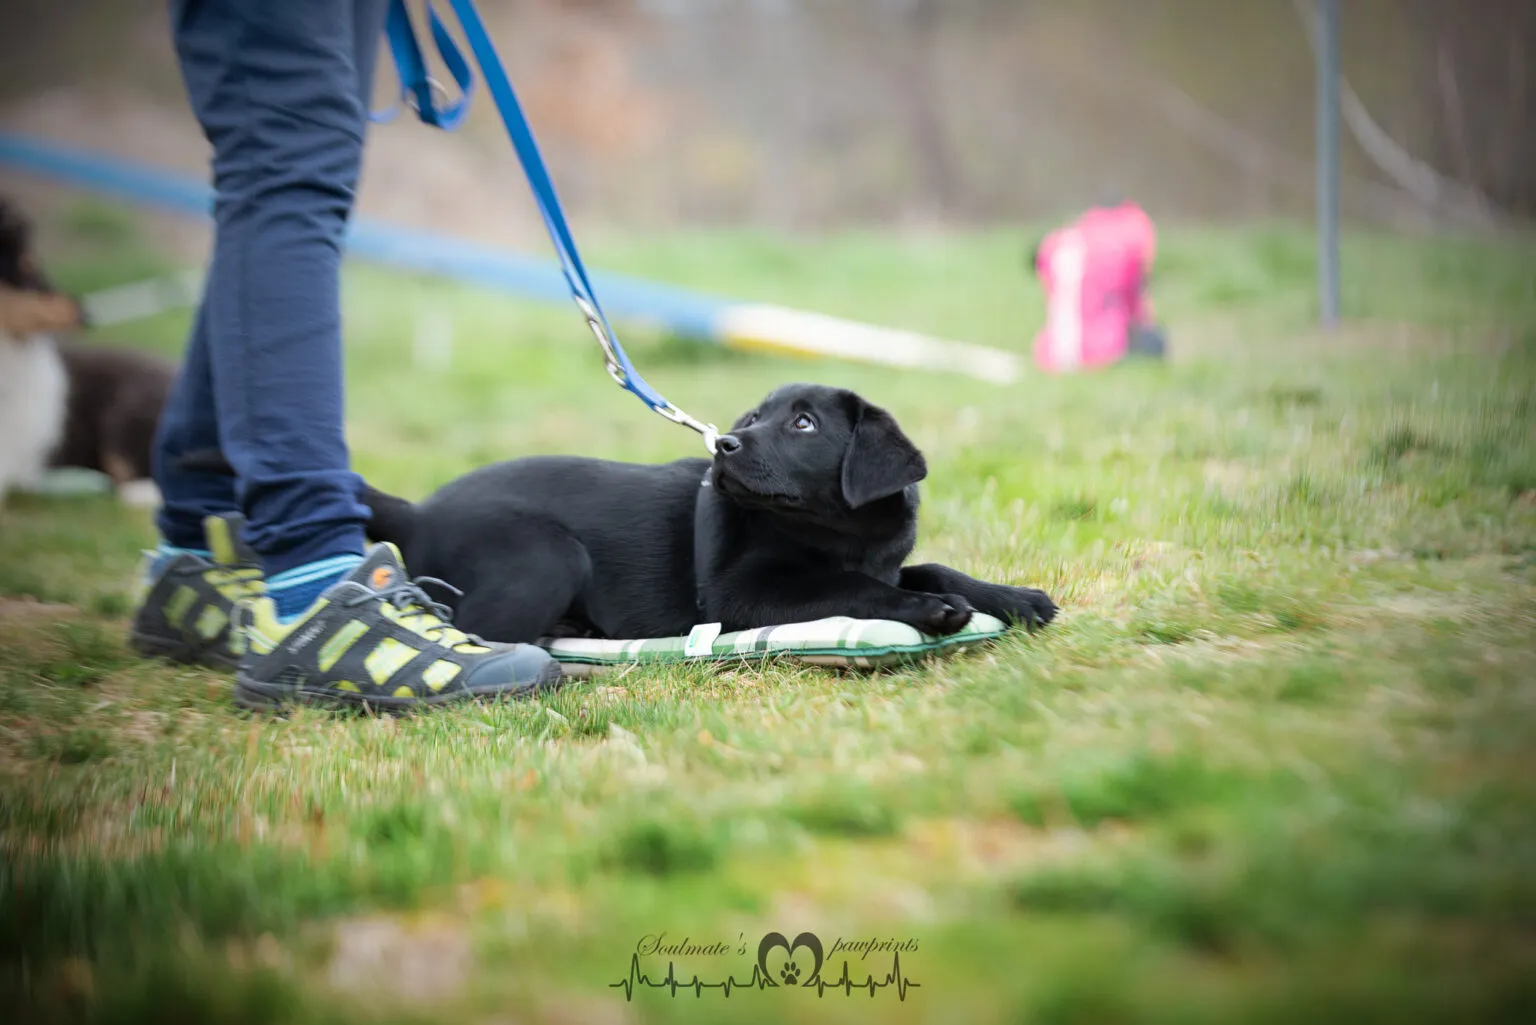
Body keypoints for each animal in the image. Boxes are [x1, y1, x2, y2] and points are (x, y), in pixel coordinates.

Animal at [359, 382, 1056, 642]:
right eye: (752, 418)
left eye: (803, 423)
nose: (726, 445)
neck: (836, 534)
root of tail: (417, 513)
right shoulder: (738, 598)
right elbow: (853, 588)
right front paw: (930, 610)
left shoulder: (883, 561)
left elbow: (932, 567)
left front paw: (1016, 598)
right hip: (546, 556)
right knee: (466, 622)